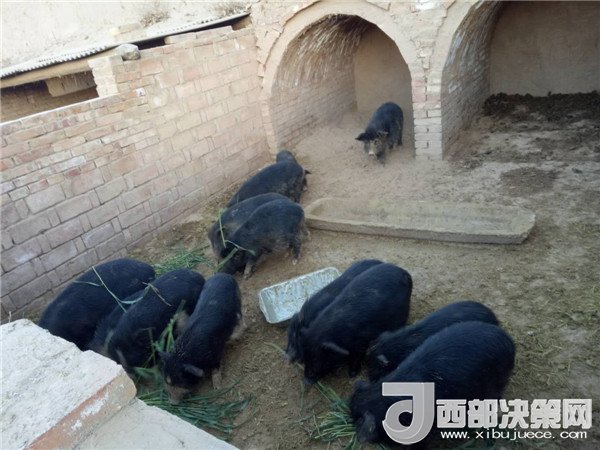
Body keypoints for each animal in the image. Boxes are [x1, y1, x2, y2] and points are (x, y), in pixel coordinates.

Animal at [159, 273, 244, 404]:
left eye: (181, 382)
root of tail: (223, 275)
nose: (172, 403)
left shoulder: (216, 352)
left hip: (238, 300)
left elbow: (216, 369)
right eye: (166, 380)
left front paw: (217, 387)